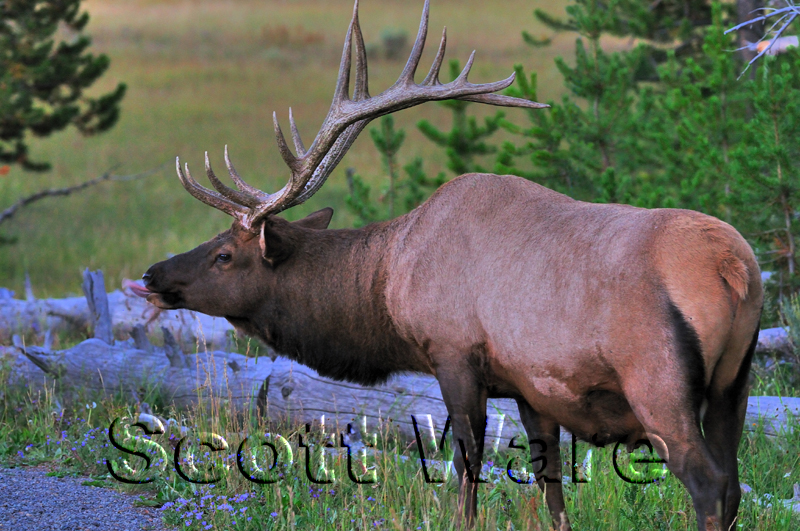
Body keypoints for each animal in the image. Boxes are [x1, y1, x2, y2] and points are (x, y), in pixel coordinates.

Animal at [134, 1, 763, 529]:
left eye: (224, 254)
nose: (152, 275)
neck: (388, 282)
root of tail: (735, 269)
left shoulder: (454, 354)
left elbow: (465, 465)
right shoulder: (532, 388)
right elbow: (550, 481)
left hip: (658, 382)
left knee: (708, 486)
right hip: (735, 382)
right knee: (733, 484)